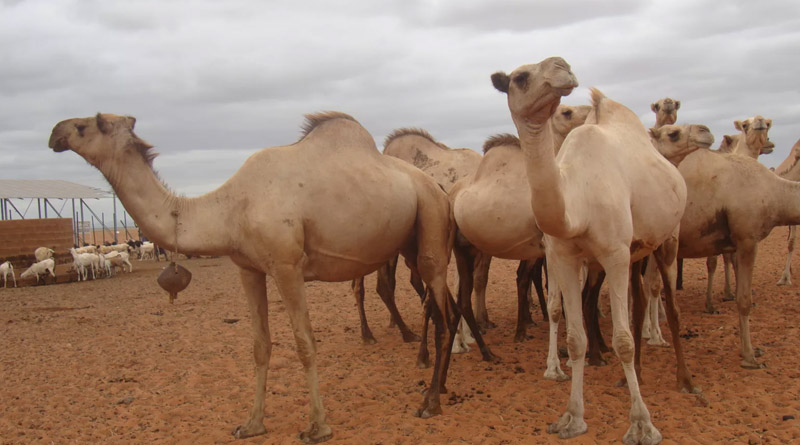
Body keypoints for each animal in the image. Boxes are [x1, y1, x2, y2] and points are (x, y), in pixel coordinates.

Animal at [48, 112, 458, 442]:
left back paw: (430, 402)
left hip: (430, 219)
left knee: (441, 311)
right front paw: (252, 424)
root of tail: (439, 188)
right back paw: (440, 387)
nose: (54, 133)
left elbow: (305, 344)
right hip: (410, 238)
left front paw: (317, 427)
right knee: (446, 310)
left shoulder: (287, 266)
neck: (229, 209)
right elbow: (260, 345)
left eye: (87, 124)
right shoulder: (248, 269)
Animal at [492, 56, 698, 443]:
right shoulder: (565, 258)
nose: (561, 65)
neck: (577, 204)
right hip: (636, 250)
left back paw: (686, 381)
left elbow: (624, 341)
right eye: (521, 77)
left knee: (669, 304)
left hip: (668, 238)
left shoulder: (614, 254)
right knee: (638, 301)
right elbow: (575, 339)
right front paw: (571, 418)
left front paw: (642, 424)